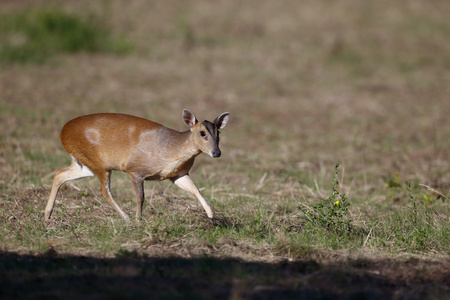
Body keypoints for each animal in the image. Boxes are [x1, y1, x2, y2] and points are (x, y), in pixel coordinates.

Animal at [44, 109, 229, 223]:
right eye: (202, 133)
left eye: (218, 133)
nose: (217, 152)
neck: (171, 148)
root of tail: (63, 132)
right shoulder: (135, 170)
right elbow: (141, 197)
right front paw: (139, 220)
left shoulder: (178, 174)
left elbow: (195, 189)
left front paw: (212, 217)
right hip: (98, 163)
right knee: (104, 190)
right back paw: (126, 219)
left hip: (86, 164)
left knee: (60, 173)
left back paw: (47, 215)